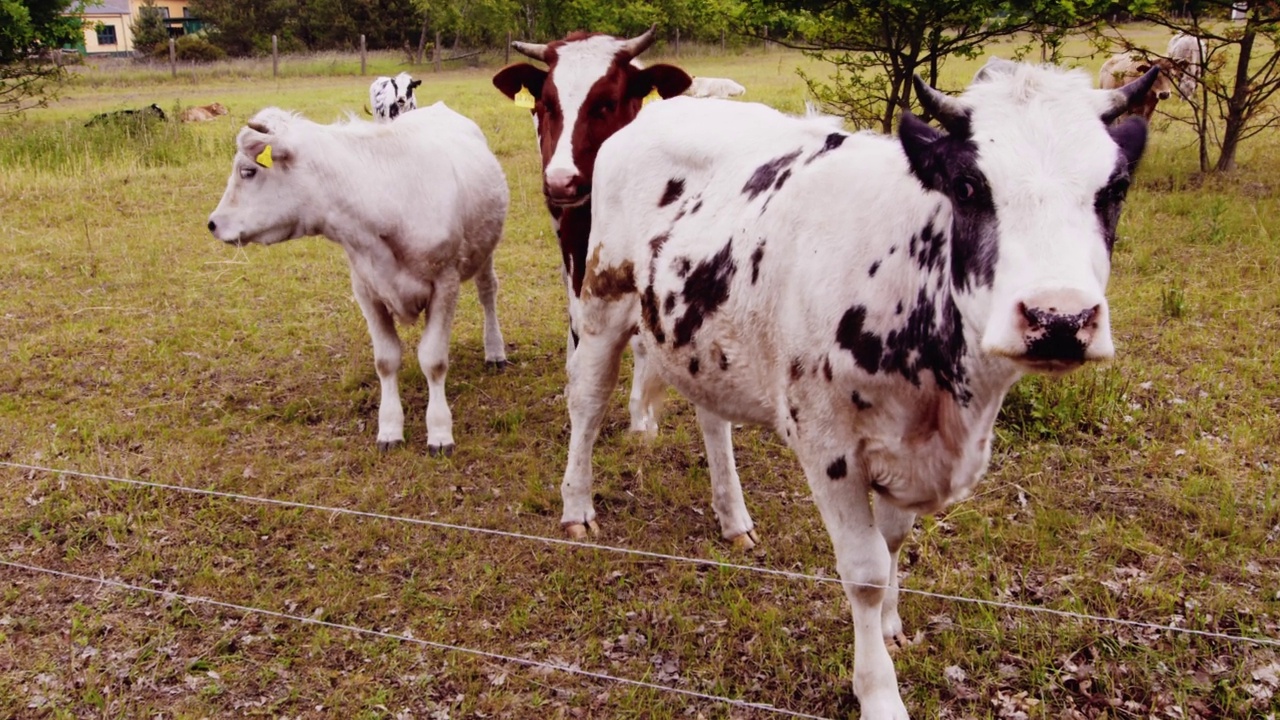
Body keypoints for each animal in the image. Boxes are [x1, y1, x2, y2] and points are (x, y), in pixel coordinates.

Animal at [206, 103, 509, 453]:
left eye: (248, 171)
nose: (212, 223)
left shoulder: (445, 284)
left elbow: (433, 360)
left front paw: (439, 431)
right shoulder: (366, 289)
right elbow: (386, 360)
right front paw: (390, 428)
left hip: (485, 250)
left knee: (488, 293)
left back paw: (495, 351)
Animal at [488, 29, 691, 448]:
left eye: (606, 103)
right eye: (547, 104)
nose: (560, 181)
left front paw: (641, 420)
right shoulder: (572, 240)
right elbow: (580, 322)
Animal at [560, 58, 1162, 712]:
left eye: (1115, 189)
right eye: (969, 187)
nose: (1060, 319)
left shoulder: (908, 449)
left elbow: (896, 541)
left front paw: (894, 625)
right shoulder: (829, 445)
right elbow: (866, 570)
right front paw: (878, 691)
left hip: (704, 334)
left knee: (712, 420)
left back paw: (733, 517)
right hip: (600, 304)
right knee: (587, 404)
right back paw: (577, 508)